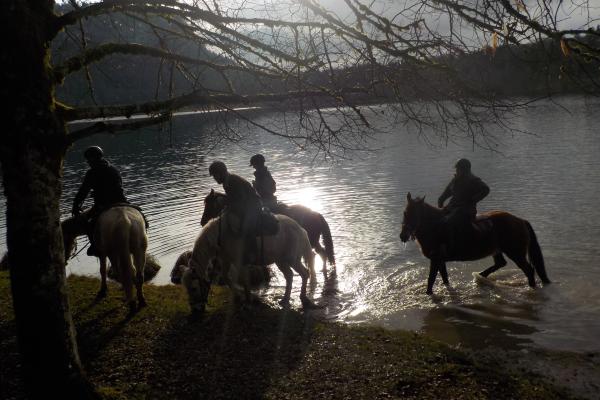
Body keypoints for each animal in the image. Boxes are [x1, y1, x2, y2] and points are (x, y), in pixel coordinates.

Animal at [182, 212, 314, 316]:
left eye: (193, 288)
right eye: (186, 288)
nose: (195, 310)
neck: (221, 235)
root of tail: (301, 229)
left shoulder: (239, 263)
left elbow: (244, 280)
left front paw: (247, 302)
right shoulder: (225, 260)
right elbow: (226, 277)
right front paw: (237, 296)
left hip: (292, 260)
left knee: (304, 273)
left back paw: (303, 298)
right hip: (280, 261)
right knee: (289, 276)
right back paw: (285, 299)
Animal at [199, 190, 336, 270]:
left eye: (208, 204)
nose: (202, 221)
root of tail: (317, 214)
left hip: (311, 241)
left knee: (316, 254)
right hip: (314, 241)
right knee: (322, 253)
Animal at [400, 192, 552, 296]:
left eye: (415, 214)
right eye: (405, 213)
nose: (403, 236)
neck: (436, 227)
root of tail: (520, 220)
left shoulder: (436, 259)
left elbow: (431, 279)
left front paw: (428, 294)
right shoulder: (439, 260)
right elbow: (444, 278)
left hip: (516, 253)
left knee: (529, 270)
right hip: (497, 250)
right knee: (500, 263)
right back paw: (481, 276)